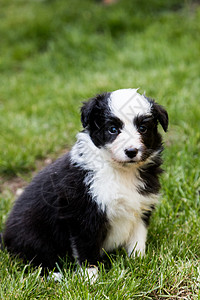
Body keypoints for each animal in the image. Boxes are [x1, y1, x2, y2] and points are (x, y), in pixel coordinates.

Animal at [1, 88, 167, 280]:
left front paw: (139, 262)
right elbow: (86, 247)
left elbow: (137, 239)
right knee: (35, 257)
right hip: (33, 233)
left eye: (143, 128)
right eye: (112, 129)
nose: (131, 151)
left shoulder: (141, 208)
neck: (121, 172)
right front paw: (90, 278)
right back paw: (55, 275)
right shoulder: (83, 214)